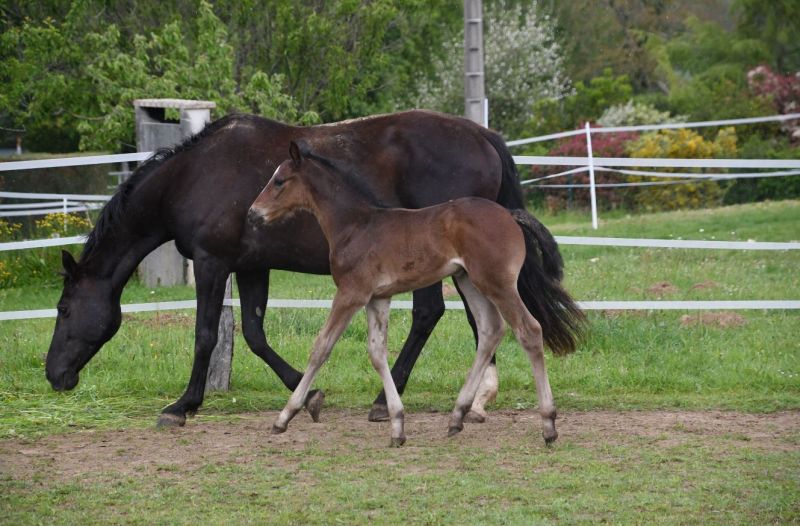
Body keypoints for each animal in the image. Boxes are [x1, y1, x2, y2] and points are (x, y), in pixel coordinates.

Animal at [245, 142, 580, 448]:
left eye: (279, 180)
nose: (252, 213)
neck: (354, 225)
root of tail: (509, 214)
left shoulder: (351, 293)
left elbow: (321, 347)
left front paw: (285, 416)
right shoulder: (378, 297)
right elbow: (377, 352)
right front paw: (396, 425)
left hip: (496, 283)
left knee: (528, 330)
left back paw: (548, 426)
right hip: (468, 280)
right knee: (490, 331)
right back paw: (457, 416)